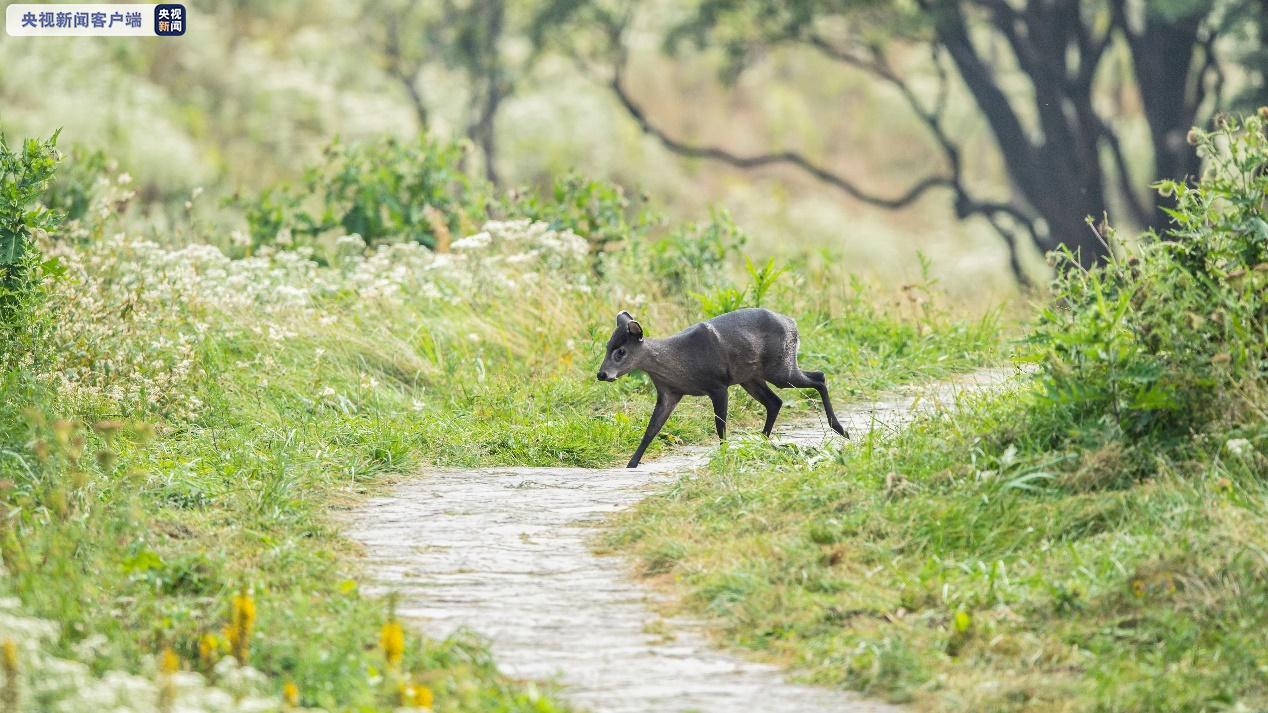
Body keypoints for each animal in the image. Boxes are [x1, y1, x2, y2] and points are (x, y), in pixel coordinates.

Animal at [595, 307, 852, 466]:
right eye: (607, 346)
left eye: (621, 352)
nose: (601, 374)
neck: (678, 362)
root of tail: (793, 323)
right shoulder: (669, 392)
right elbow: (651, 430)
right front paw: (632, 463)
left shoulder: (718, 385)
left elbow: (720, 426)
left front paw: (724, 453)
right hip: (751, 377)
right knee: (775, 401)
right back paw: (760, 441)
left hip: (781, 368)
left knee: (819, 377)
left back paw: (840, 429)